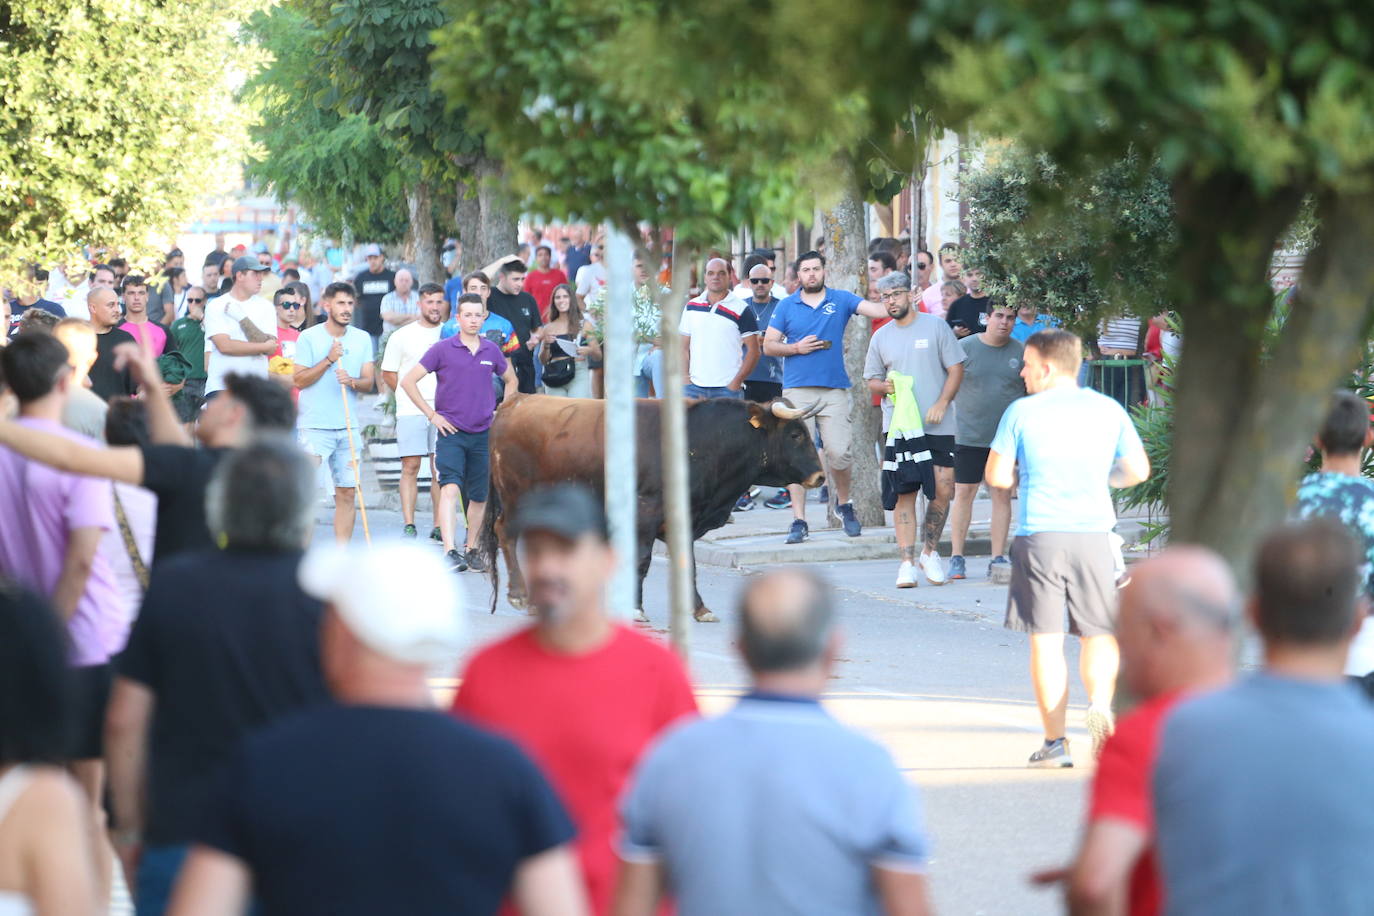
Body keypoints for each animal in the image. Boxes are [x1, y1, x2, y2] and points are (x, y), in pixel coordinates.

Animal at [483, 395, 824, 623]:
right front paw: (635, 608)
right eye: (795, 434)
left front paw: (699, 608)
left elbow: (689, 564)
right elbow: (641, 560)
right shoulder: (644, 514)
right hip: (516, 498)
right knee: (506, 534)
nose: (820, 477)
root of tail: (516, 400)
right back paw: (521, 596)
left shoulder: (684, 520)